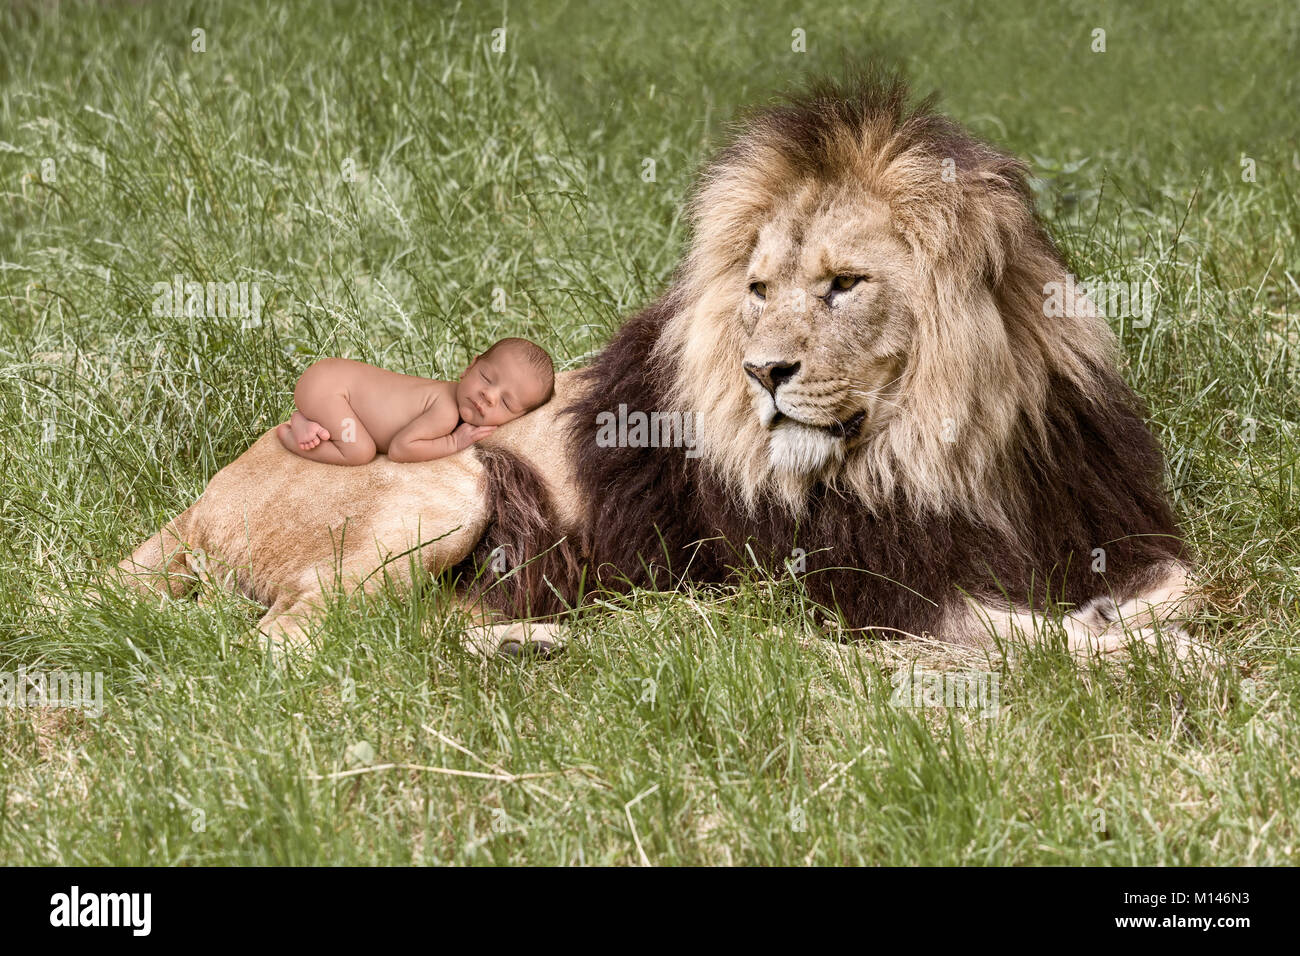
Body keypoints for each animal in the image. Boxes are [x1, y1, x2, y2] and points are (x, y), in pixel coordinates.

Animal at [119, 72, 1196, 658]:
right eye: (757, 288)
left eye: (844, 284)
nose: (764, 373)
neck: (942, 449)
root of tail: (193, 502)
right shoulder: (857, 594)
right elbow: (1024, 635)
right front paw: (1152, 656)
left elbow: (1171, 586)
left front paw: (1145, 624)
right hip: (447, 482)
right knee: (297, 640)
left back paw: (545, 643)